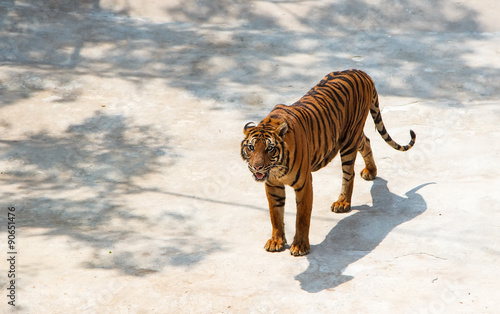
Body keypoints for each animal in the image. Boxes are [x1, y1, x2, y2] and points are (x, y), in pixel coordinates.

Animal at [240, 68, 416, 255]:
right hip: (351, 136)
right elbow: (275, 215)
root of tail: (361, 72)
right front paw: (276, 241)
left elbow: (301, 217)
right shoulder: (272, 185)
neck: (276, 168)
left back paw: (343, 202)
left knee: (349, 173)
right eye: (251, 148)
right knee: (366, 141)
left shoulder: (304, 183)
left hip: (349, 140)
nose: (257, 167)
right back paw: (370, 171)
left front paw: (300, 246)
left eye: (270, 149)